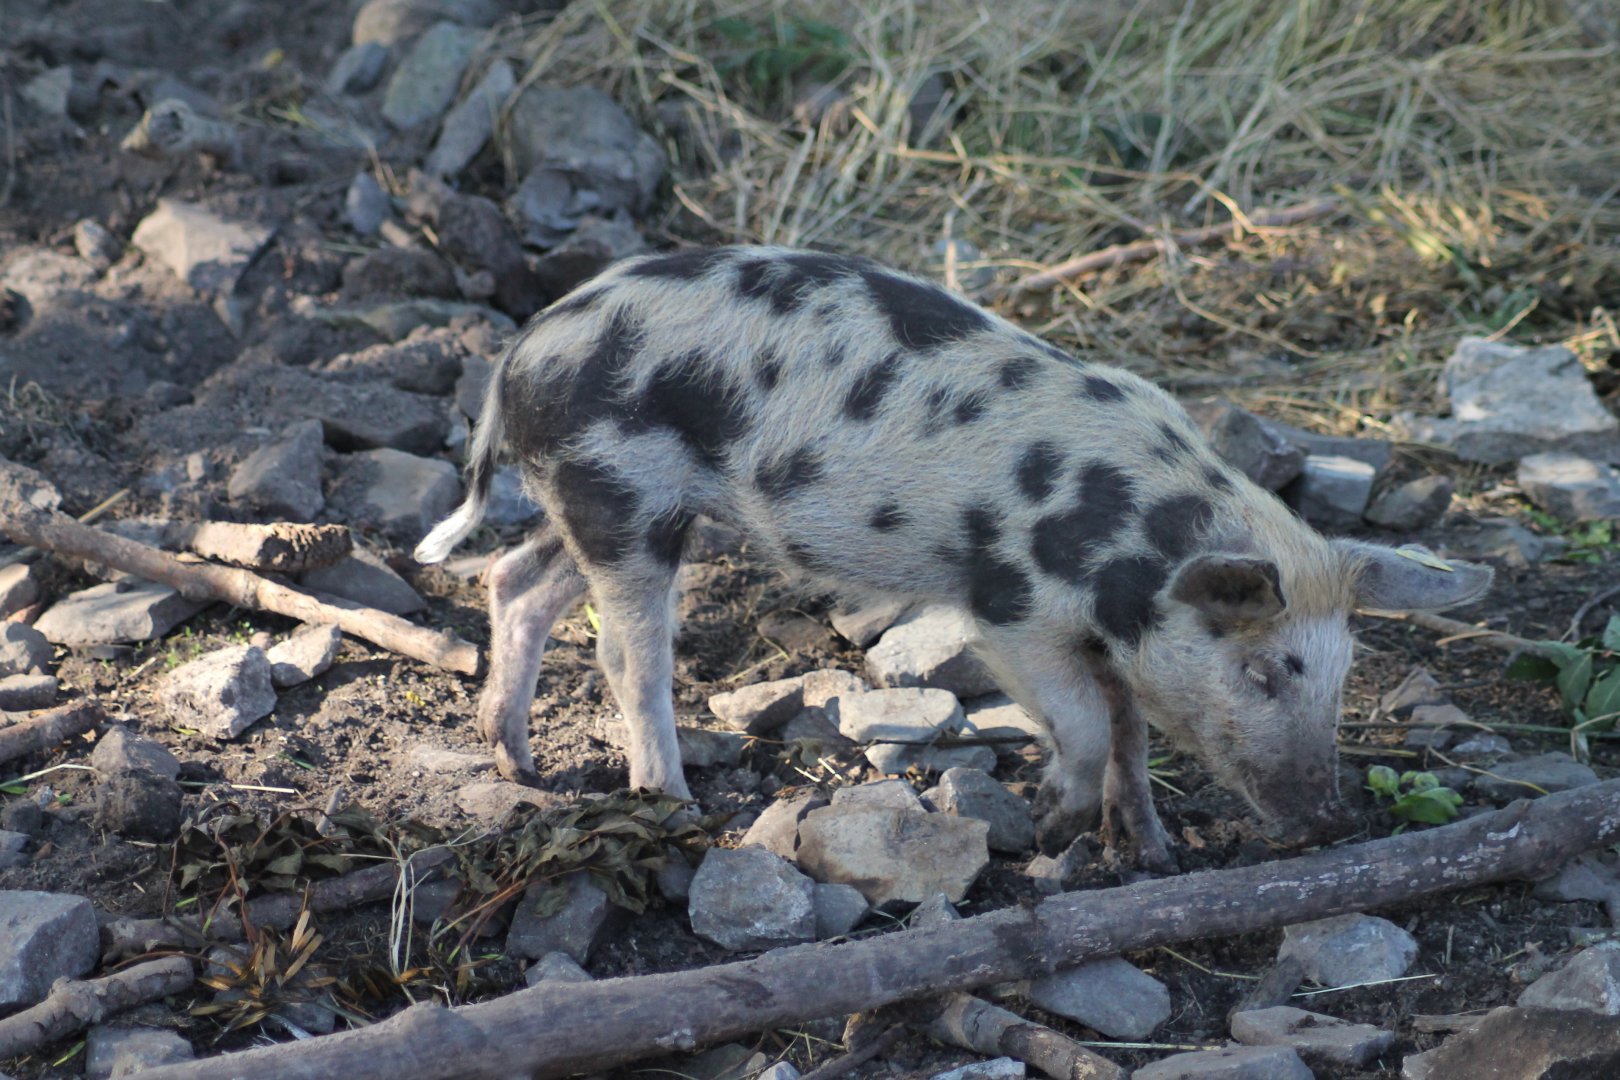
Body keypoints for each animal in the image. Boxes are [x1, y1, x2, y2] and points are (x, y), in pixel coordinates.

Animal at [416, 246, 1491, 871]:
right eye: (1266, 671)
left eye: (1344, 678)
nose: (1333, 823)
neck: (1127, 547)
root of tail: (521, 355)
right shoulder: (1008, 606)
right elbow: (1085, 723)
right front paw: (1049, 830)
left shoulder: (1111, 639)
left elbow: (1131, 730)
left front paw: (1145, 851)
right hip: (624, 495)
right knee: (626, 656)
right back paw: (674, 805)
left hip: (604, 501)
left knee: (518, 582)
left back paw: (514, 759)